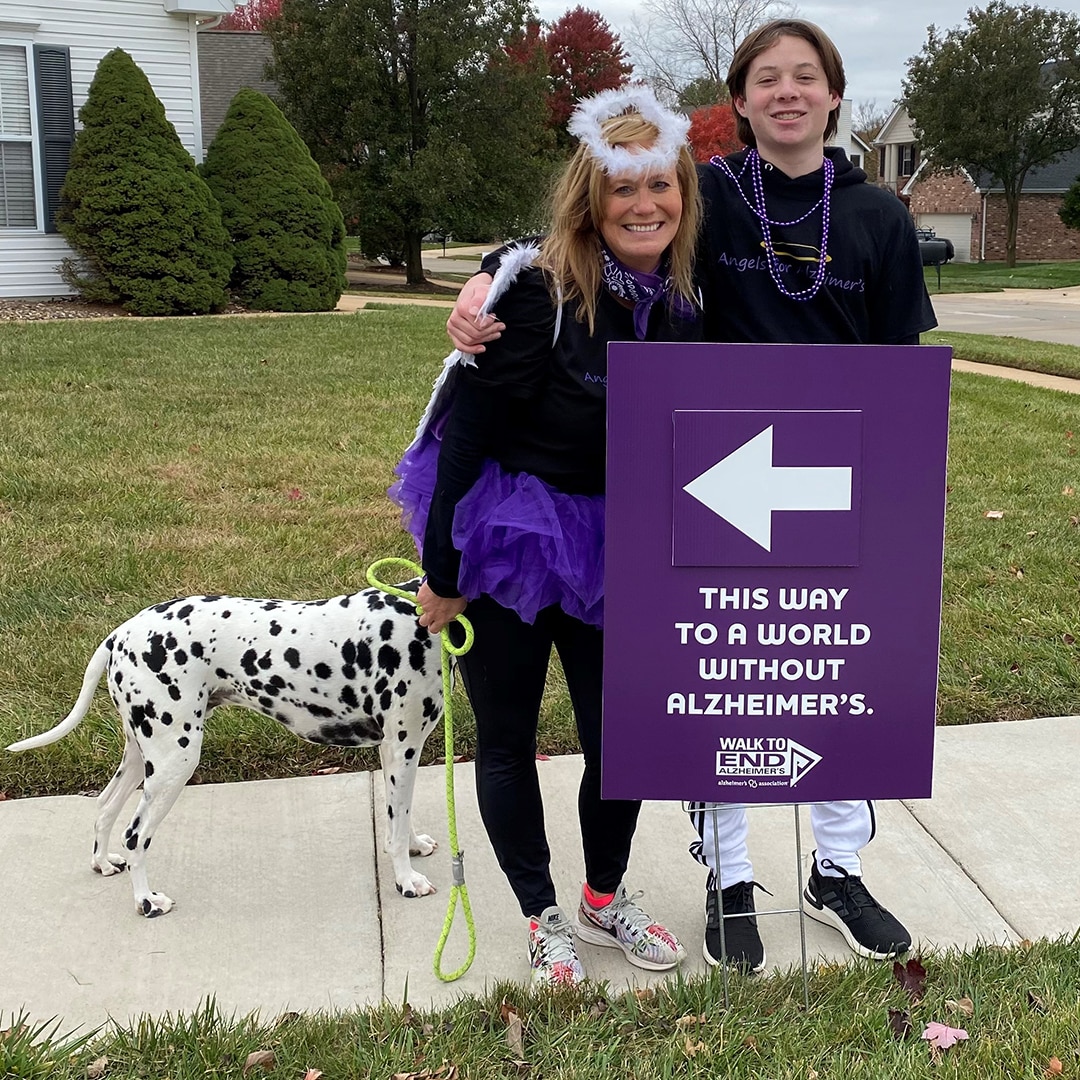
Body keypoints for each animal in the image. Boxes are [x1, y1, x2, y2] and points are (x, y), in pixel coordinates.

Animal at [6, 587, 444, 915]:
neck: (417, 617)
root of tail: (120, 634)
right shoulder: (403, 747)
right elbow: (397, 822)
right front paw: (406, 880)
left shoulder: (395, 752)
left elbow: (399, 816)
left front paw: (413, 846)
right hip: (174, 761)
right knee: (135, 836)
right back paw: (146, 901)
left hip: (142, 758)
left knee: (104, 807)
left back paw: (102, 862)